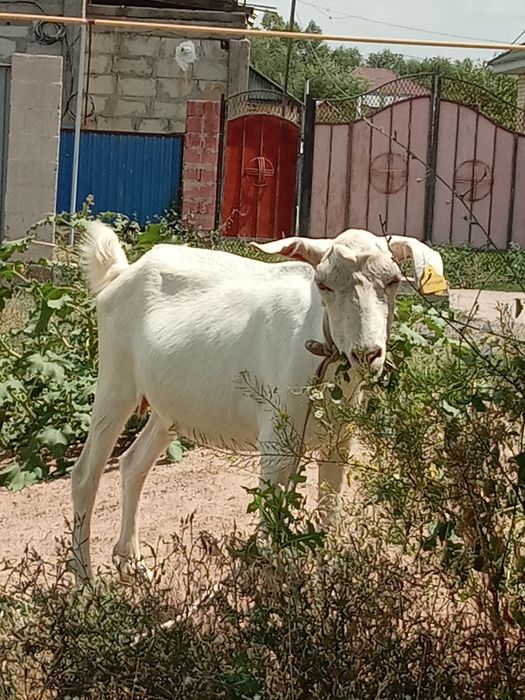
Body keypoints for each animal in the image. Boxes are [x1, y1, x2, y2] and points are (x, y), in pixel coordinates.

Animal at [71, 223, 446, 582]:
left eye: (393, 280)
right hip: (116, 380)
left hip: (169, 408)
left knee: (134, 464)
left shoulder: (338, 440)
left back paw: (131, 564)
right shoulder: (276, 443)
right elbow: (271, 526)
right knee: (85, 475)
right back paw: (85, 583)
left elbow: (329, 510)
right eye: (323, 285)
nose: (366, 354)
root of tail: (120, 274)